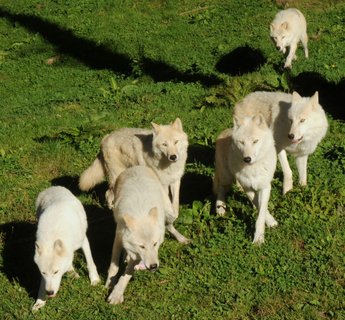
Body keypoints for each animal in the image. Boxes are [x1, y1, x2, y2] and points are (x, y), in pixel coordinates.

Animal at [105, 166, 175, 304]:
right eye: (142, 246)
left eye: (155, 244)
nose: (153, 266)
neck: (140, 212)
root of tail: (137, 167)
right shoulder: (119, 237)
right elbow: (114, 266)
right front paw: (109, 284)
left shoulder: (138, 255)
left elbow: (127, 273)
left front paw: (116, 294)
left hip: (170, 213)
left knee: (170, 225)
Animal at [212, 115, 276, 245]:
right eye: (242, 142)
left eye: (255, 141)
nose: (247, 159)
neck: (253, 168)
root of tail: (224, 131)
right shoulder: (248, 188)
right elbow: (257, 204)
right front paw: (259, 238)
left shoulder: (265, 187)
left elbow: (261, 211)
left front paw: (260, 236)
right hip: (226, 176)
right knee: (221, 189)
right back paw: (220, 207)